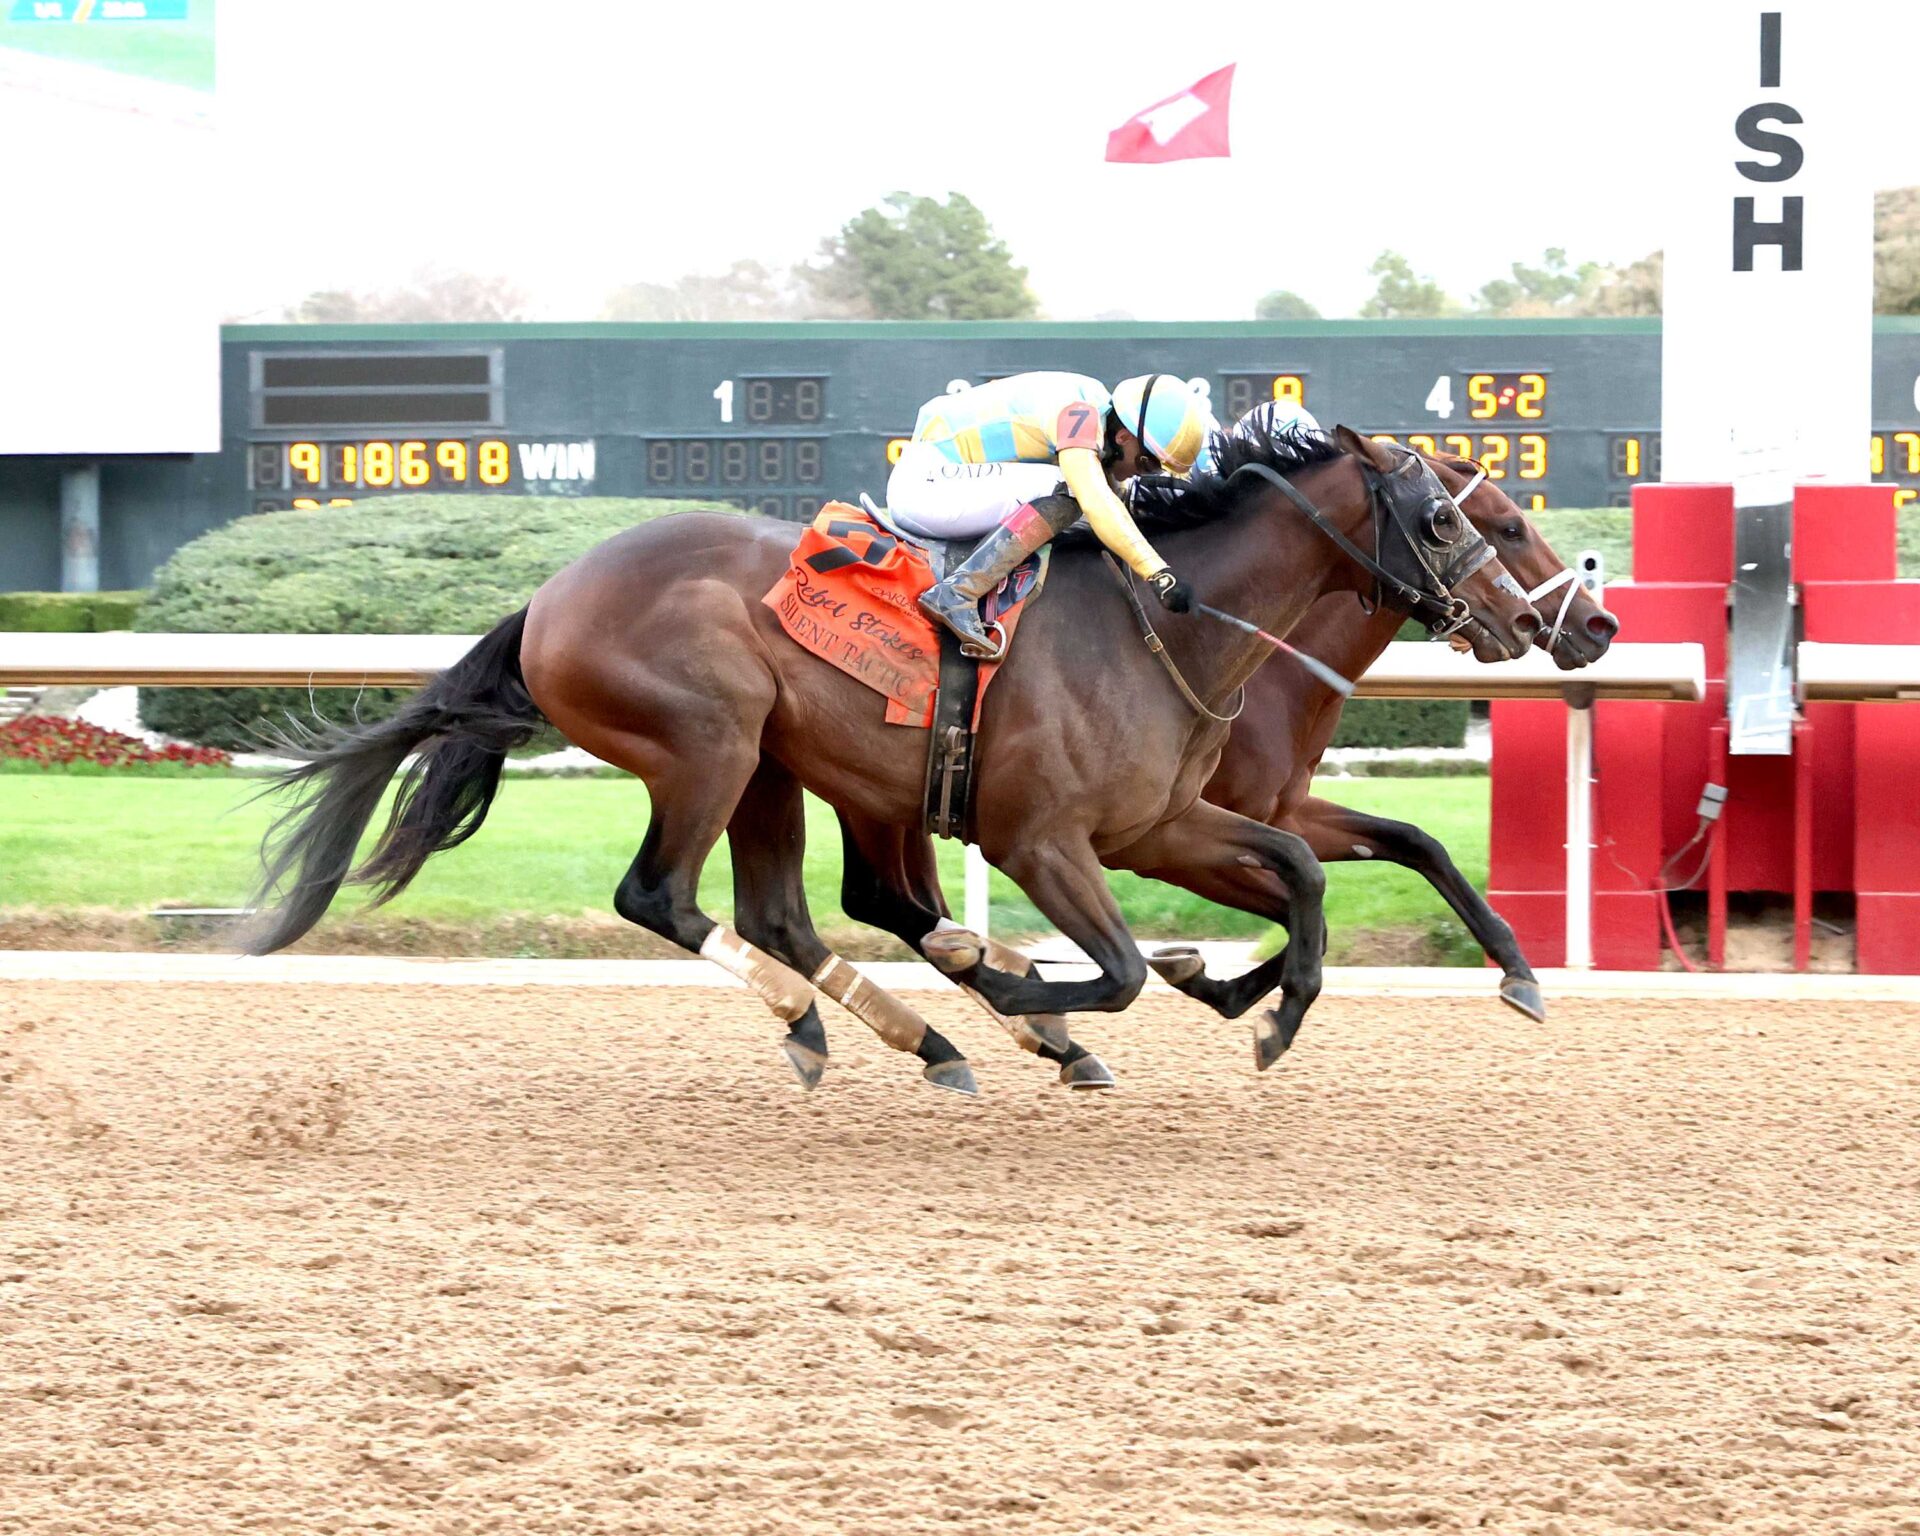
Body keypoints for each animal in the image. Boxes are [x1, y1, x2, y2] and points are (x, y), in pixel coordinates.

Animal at [244, 427, 1543, 1093]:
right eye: (1457, 519)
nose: (1542, 624)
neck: (1171, 626)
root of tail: (550, 597)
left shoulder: (1159, 825)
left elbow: (1308, 879)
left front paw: (1258, 1006)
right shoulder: (1043, 838)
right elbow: (1121, 967)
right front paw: (1040, 995)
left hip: (782, 766)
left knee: (792, 912)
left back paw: (925, 1034)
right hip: (709, 744)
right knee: (663, 896)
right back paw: (879, 1020)